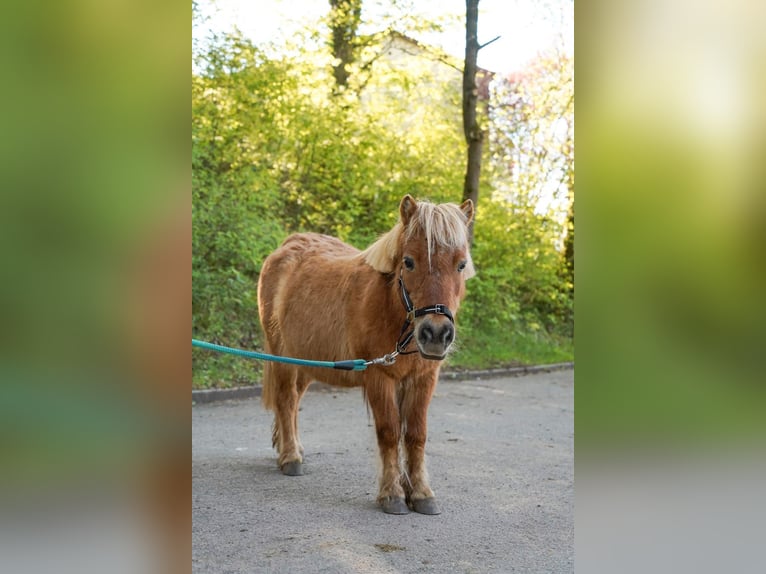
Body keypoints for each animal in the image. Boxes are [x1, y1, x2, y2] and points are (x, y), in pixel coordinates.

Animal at [258, 195, 474, 516]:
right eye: (408, 262)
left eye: (461, 264)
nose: (436, 334)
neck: (390, 308)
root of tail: (285, 247)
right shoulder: (378, 377)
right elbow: (389, 431)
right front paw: (392, 494)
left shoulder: (423, 379)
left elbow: (416, 434)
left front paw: (421, 493)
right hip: (282, 355)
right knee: (285, 400)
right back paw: (290, 458)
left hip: (307, 361)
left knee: (294, 401)